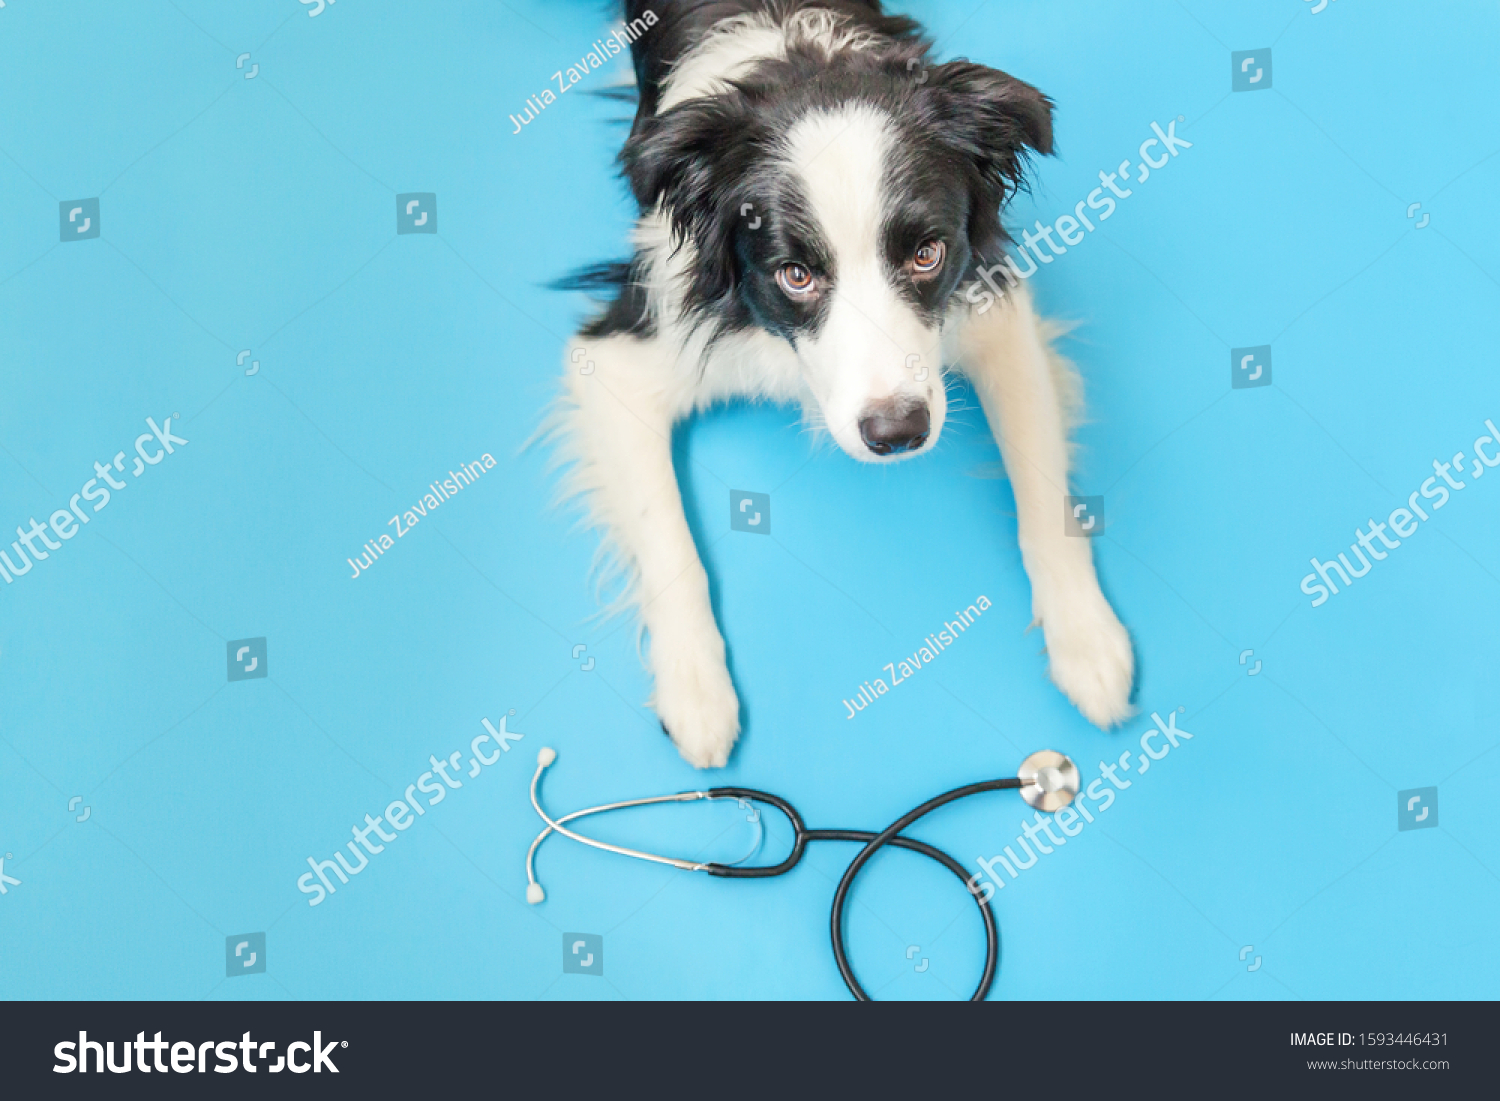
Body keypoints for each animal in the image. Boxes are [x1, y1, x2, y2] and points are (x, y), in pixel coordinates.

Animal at [558, 0, 1128, 774]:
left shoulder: (992, 308)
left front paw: (1088, 642)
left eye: (927, 254)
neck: (803, 63)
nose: (898, 435)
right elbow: (670, 542)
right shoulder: (625, 350)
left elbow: (1043, 494)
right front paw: (697, 694)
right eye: (796, 274)